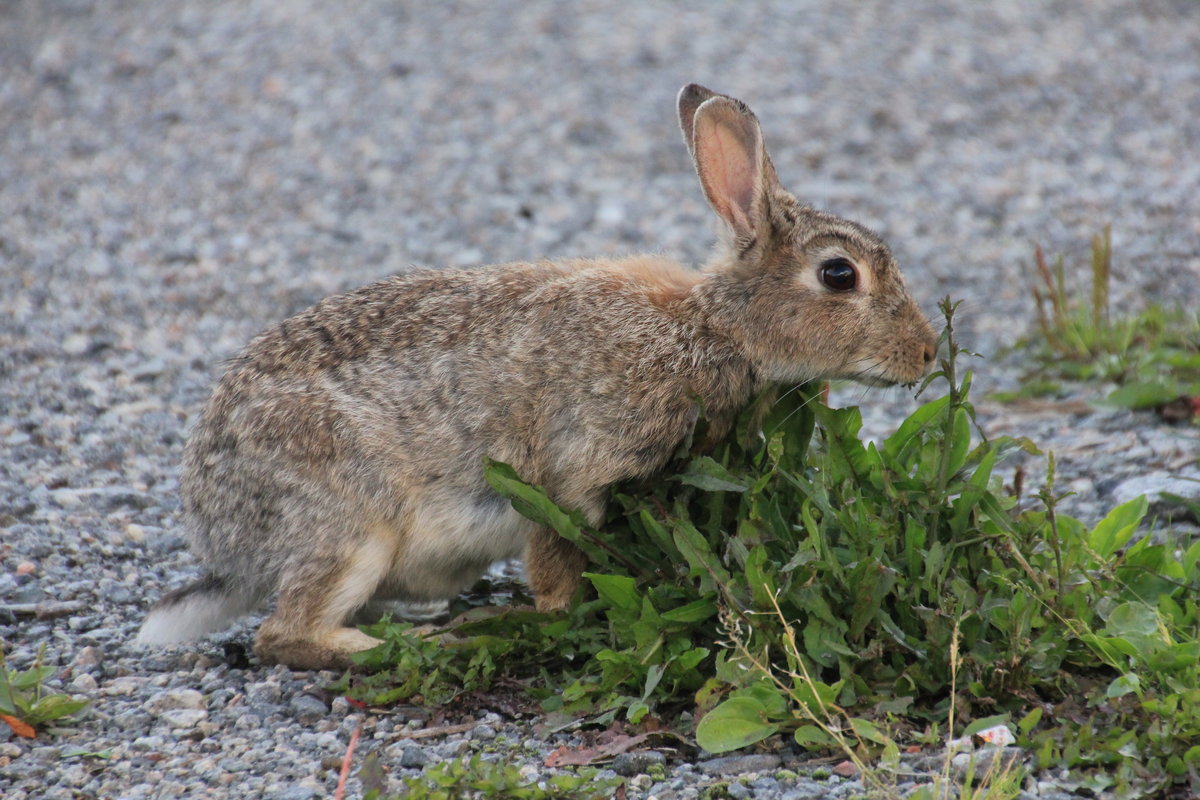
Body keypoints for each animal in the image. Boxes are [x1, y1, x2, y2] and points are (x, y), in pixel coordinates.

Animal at [140, 84, 940, 671]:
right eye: (839, 275)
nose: (928, 353)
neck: (713, 329)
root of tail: (223, 540)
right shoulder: (570, 474)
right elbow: (557, 563)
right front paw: (555, 614)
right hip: (352, 518)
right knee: (285, 633)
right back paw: (402, 646)